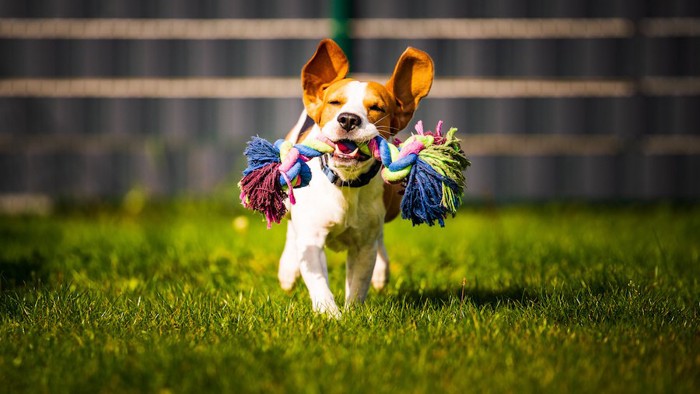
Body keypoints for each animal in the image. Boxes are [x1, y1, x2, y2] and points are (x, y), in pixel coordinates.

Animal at [278, 39, 432, 318]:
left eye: (377, 108)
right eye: (335, 103)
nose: (349, 119)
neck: (345, 183)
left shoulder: (364, 244)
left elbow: (359, 283)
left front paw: (351, 315)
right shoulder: (312, 238)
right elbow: (318, 281)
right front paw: (329, 314)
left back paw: (381, 272)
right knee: (291, 229)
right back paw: (288, 270)